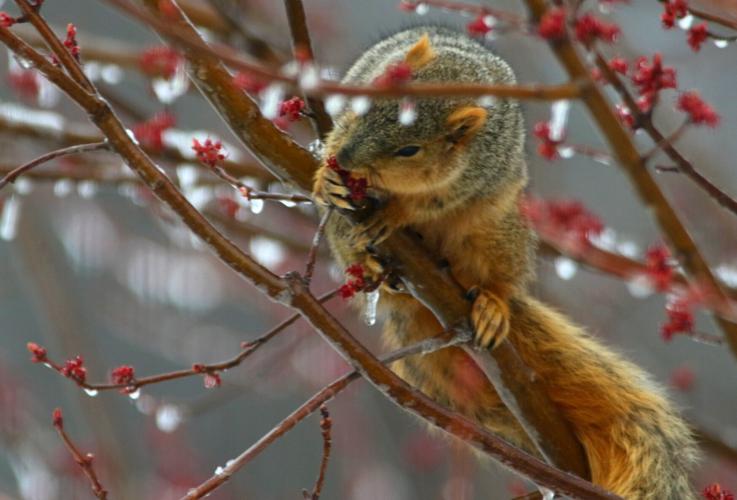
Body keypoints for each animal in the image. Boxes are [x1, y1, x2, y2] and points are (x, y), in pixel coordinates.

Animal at [313, 26, 697, 499]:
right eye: (368, 100)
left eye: (409, 149)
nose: (348, 159)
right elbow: (332, 139)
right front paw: (325, 175)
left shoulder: (474, 173)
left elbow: (435, 199)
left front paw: (398, 212)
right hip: (343, 232)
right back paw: (372, 270)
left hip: (497, 234)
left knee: (496, 278)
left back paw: (492, 305)